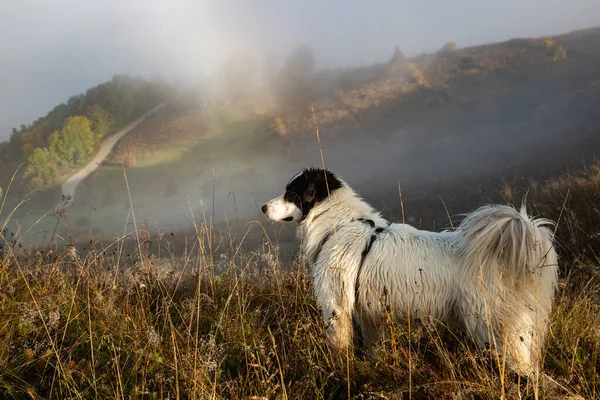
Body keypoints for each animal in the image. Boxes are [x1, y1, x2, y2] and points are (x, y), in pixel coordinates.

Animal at [262, 167, 556, 376]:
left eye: (291, 193)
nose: (263, 207)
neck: (339, 224)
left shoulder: (336, 308)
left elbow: (338, 348)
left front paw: (339, 372)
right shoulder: (369, 315)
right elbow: (373, 348)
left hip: (491, 328)